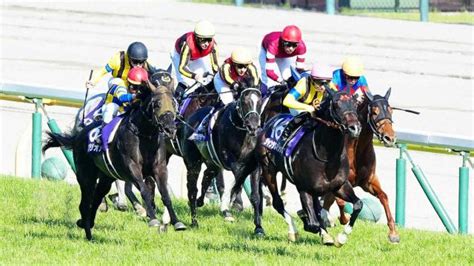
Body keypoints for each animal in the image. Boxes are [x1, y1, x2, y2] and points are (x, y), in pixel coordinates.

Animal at [42, 82, 186, 240]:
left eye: (174, 103)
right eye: (157, 104)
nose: (170, 129)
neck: (144, 135)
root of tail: (78, 136)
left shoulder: (159, 169)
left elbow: (166, 195)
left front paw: (177, 222)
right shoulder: (132, 168)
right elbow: (145, 191)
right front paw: (153, 219)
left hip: (106, 177)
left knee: (96, 198)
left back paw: (87, 224)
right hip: (86, 176)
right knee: (85, 203)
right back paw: (88, 233)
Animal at [181, 85, 262, 227]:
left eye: (260, 101)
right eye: (244, 101)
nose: (253, 126)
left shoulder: (254, 166)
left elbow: (255, 196)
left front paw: (258, 226)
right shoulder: (229, 159)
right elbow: (237, 179)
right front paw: (230, 203)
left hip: (212, 163)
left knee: (206, 177)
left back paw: (200, 201)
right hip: (193, 163)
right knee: (192, 189)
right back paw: (194, 221)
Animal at [239, 87, 362, 245]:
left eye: (355, 104)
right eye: (336, 104)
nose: (354, 128)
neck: (327, 157)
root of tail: (269, 122)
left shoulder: (339, 186)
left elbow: (358, 204)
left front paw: (341, 237)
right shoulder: (304, 188)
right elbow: (313, 224)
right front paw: (306, 220)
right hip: (268, 170)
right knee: (277, 203)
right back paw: (292, 230)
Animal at [322, 88, 400, 243]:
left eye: (391, 111)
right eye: (374, 112)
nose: (390, 138)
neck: (357, 151)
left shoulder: (368, 182)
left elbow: (384, 196)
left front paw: (393, 233)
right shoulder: (342, 182)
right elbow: (340, 202)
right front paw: (344, 219)